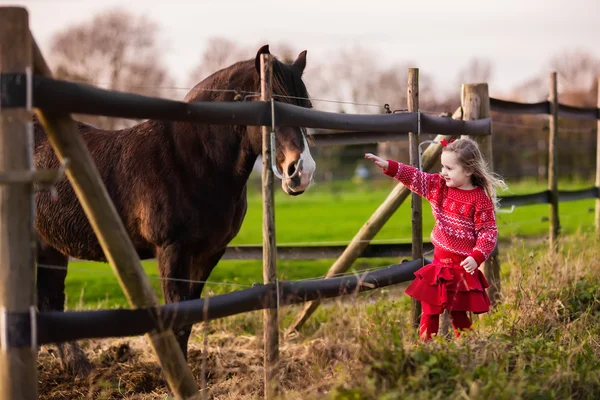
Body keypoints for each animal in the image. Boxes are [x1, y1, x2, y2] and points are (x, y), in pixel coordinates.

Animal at [33, 45, 316, 376]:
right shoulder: (172, 250)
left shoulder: (208, 253)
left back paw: (79, 368)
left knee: (49, 301)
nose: (302, 172)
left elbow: (189, 318)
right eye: (272, 106)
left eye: (306, 107)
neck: (191, 160)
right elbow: (177, 316)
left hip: (50, 246)